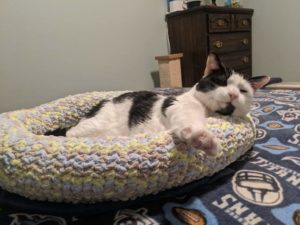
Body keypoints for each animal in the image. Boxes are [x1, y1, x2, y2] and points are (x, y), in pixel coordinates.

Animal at [65, 53, 268, 156]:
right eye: (222, 82)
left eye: (243, 91)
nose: (233, 94)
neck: (210, 112)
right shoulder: (176, 105)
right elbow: (190, 121)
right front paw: (203, 139)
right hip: (96, 125)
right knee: (70, 134)